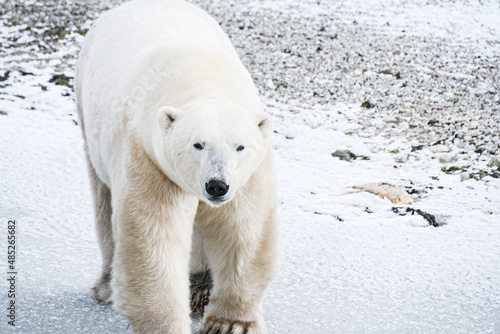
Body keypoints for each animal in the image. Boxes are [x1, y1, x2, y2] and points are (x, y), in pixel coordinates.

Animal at [74, 0, 280, 332]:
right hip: (87, 113)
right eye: (198, 144)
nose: (217, 185)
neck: (200, 79)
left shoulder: (249, 176)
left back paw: (200, 287)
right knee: (105, 203)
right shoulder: (150, 159)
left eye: (240, 146)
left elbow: (243, 230)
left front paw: (229, 323)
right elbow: (154, 240)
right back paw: (105, 286)